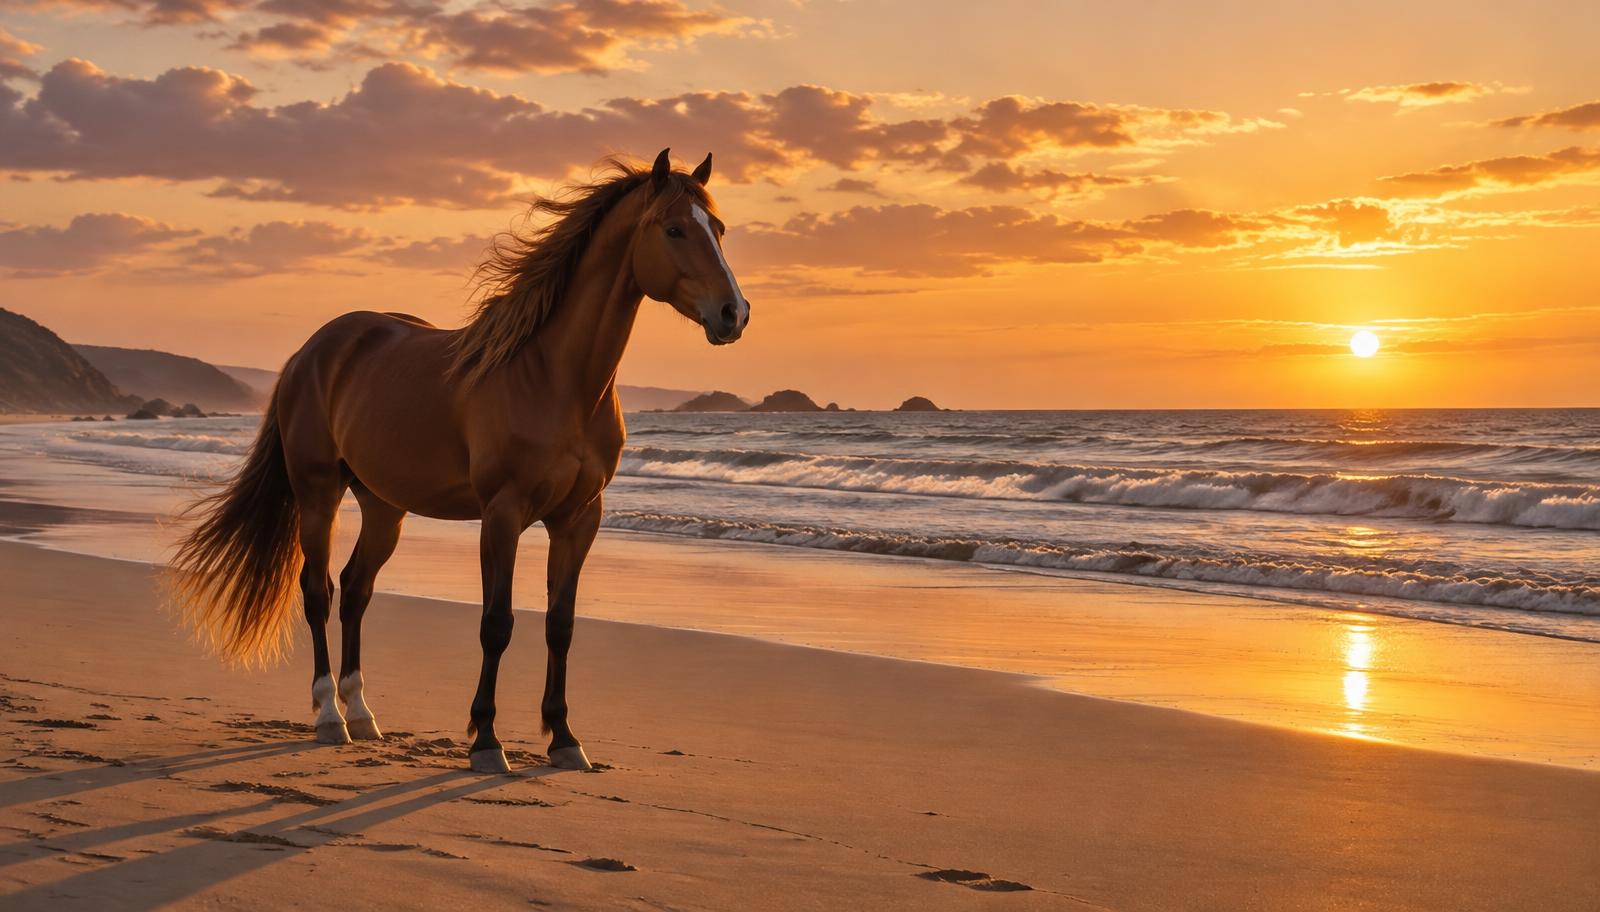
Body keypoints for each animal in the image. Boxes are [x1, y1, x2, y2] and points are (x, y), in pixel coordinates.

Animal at [167, 149, 748, 773]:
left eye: (718, 229)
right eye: (674, 229)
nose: (733, 314)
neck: (555, 380)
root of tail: (312, 351)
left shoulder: (579, 518)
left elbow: (560, 625)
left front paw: (565, 739)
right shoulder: (502, 514)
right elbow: (497, 624)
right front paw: (487, 740)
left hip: (384, 507)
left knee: (355, 588)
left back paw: (362, 712)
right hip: (317, 493)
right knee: (318, 590)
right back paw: (329, 716)